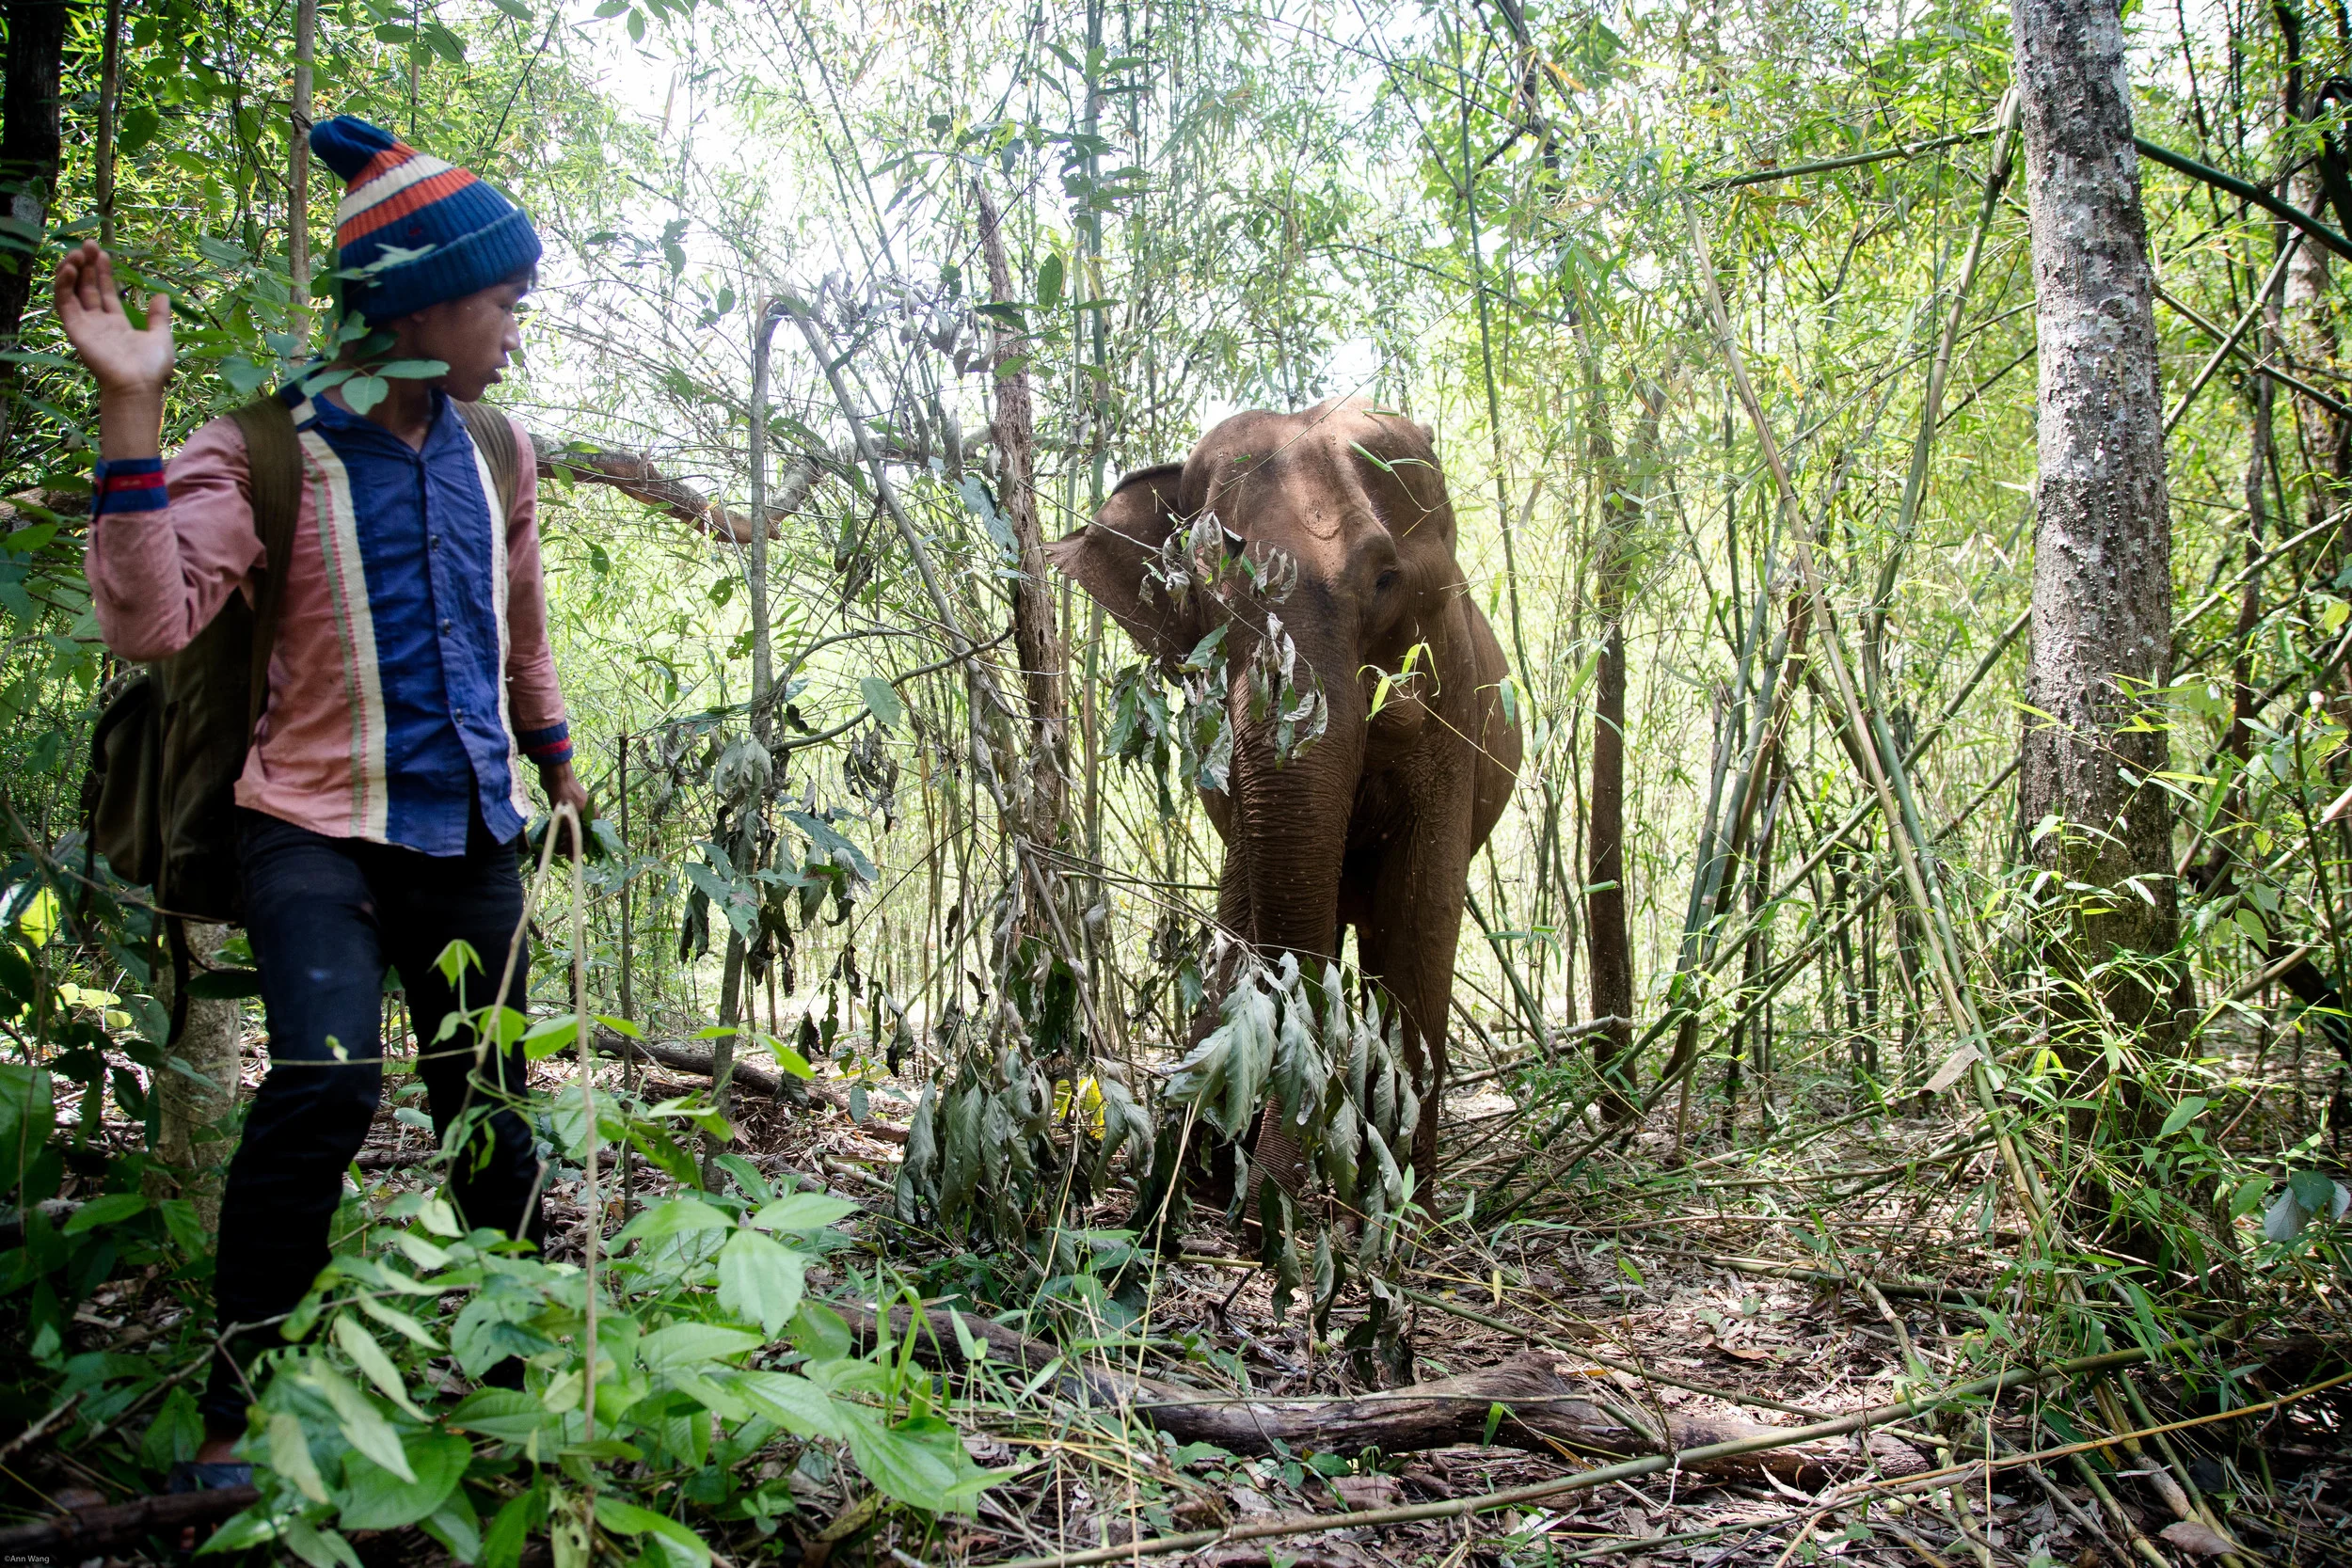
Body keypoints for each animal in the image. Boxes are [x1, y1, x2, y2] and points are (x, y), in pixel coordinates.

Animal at [1054, 394, 1524, 1189]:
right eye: (1202, 592)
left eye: (1385, 578)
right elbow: (1251, 887)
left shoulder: (1454, 696)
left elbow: (1421, 916)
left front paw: (1405, 1209)